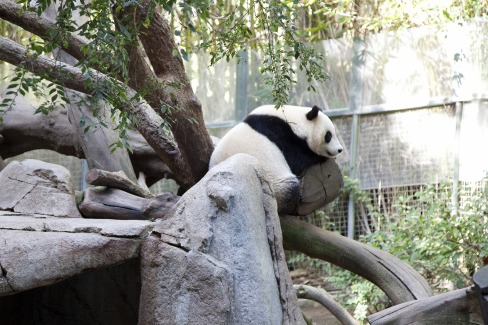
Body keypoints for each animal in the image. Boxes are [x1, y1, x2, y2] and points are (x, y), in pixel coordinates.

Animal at [210, 104, 344, 215]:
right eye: (329, 135)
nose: (340, 149)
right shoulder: (282, 136)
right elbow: (298, 160)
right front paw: (321, 157)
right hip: (273, 185)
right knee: (289, 189)